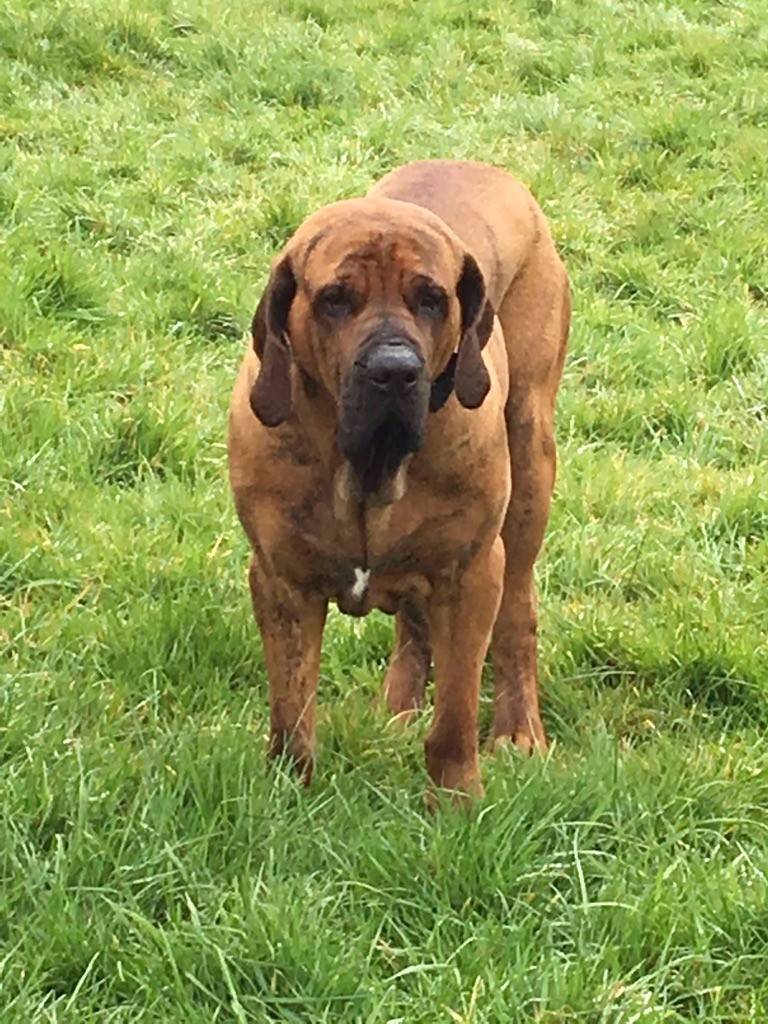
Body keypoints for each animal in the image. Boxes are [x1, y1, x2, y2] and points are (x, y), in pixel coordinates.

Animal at [225, 161, 569, 798]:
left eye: (431, 300)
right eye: (335, 300)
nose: (394, 370)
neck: (369, 465)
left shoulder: (469, 574)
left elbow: (456, 715)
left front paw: (456, 800)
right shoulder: (281, 579)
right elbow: (290, 706)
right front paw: (288, 791)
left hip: (530, 469)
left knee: (518, 611)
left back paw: (517, 729)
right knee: (414, 622)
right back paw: (400, 708)